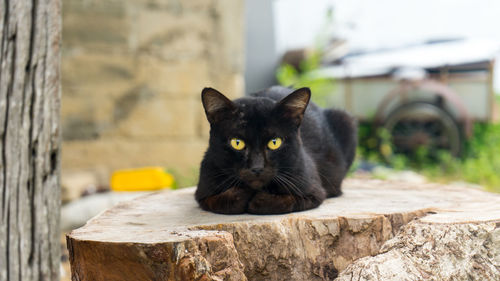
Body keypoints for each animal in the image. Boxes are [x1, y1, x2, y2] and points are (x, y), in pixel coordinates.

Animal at [195, 86, 356, 213]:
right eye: (237, 143)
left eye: (274, 143)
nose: (257, 168)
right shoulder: (203, 192)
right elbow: (223, 201)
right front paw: (243, 194)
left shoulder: (314, 192)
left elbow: (284, 202)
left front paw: (258, 200)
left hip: (345, 119)